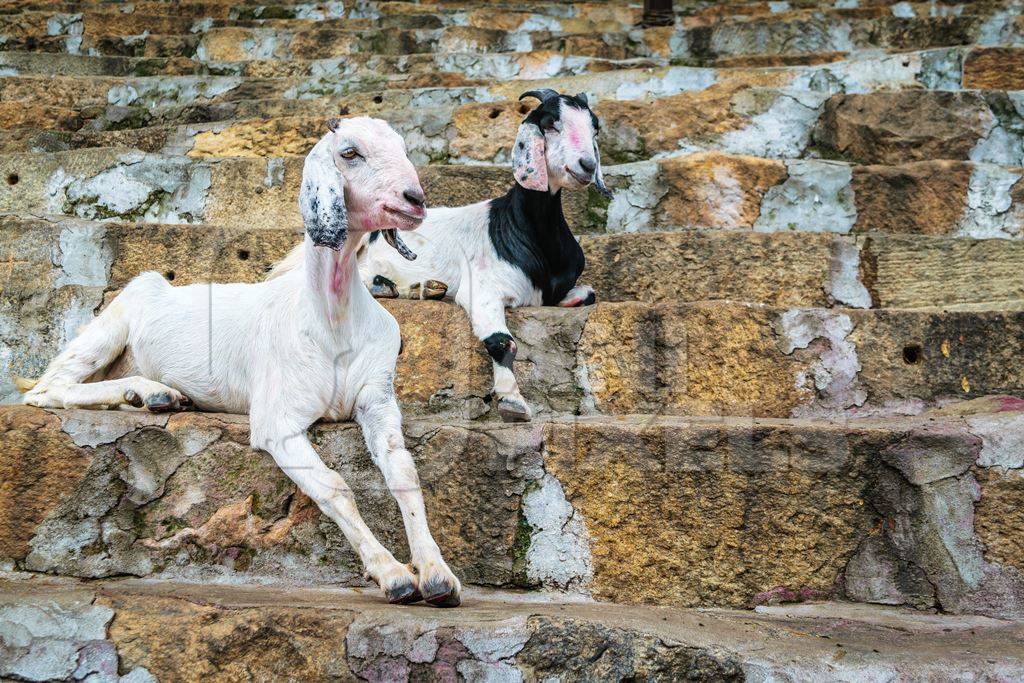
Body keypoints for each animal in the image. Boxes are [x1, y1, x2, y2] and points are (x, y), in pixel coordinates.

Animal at [22, 117, 462, 610]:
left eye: (403, 148)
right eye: (349, 152)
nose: (415, 199)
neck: (332, 320)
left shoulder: (377, 399)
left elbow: (404, 473)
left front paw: (437, 573)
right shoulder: (276, 422)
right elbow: (335, 486)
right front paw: (393, 574)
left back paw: (147, 396)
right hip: (110, 326)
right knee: (47, 388)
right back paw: (152, 392)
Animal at [272, 90, 606, 421]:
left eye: (594, 127)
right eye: (551, 124)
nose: (587, 165)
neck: (526, 231)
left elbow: (590, 292)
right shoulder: (482, 288)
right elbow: (502, 341)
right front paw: (512, 401)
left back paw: (421, 288)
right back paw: (396, 287)